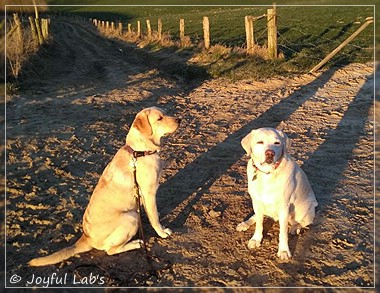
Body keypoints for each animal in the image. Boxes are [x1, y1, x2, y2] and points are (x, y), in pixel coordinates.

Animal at [29, 106, 180, 264]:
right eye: (159, 118)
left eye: (165, 114)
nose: (179, 120)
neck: (140, 151)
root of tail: (86, 237)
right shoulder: (148, 193)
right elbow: (154, 219)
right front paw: (162, 232)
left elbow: (153, 214)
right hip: (131, 217)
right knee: (111, 250)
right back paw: (136, 243)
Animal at [238, 126, 318, 258]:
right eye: (260, 142)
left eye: (277, 143)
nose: (270, 153)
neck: (267, 174)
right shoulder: (257, 201)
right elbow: (259, 224)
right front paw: (256, 239)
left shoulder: (284, 206)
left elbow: (283, 232)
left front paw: (284, 251)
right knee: (256, 216)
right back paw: (245, 223)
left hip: (306, 209)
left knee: (303, 222)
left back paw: (295, 228)